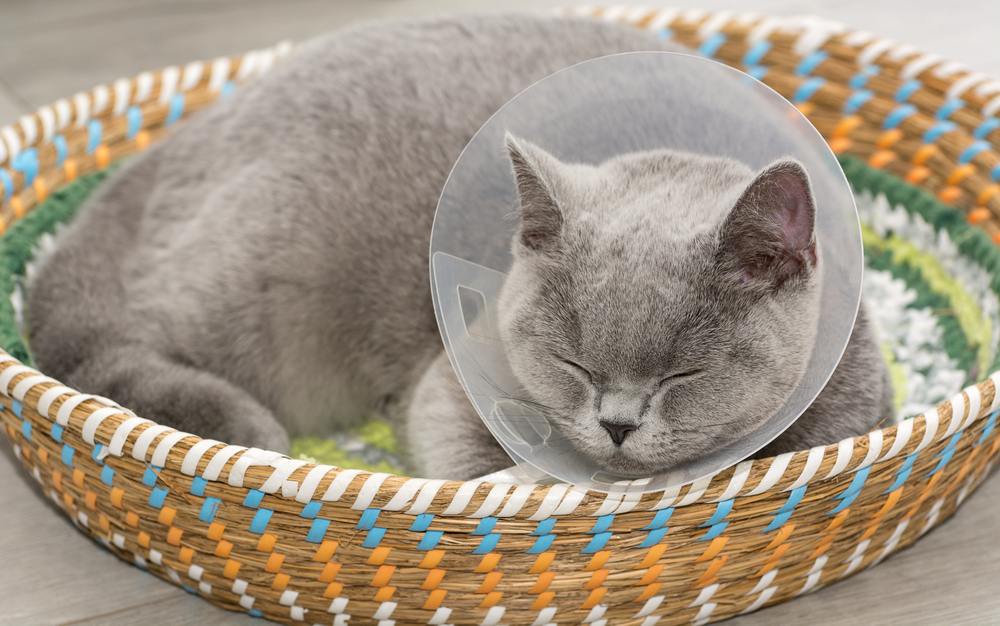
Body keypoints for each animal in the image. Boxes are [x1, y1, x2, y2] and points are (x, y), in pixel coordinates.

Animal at [27, 13, 896, 478]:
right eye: (574, 364)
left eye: (685, 373)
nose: (616, 425)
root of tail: (187, 133)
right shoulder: (453, 381)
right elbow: (476, 474)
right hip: (259, 285)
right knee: (114, 341)